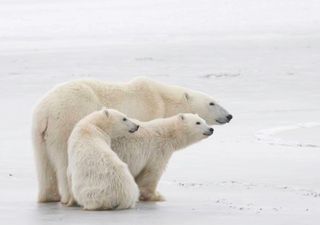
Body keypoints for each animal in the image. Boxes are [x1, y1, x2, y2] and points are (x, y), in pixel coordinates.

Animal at [31, 76, 232, 203]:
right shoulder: (149, 110)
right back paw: (71, 197)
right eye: (212, 103)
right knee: (64, 160)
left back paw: (49, 197)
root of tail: (45, 111)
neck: (162, 99)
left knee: (44, 165)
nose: (229, 115)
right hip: (67, 120)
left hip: (39, 134)